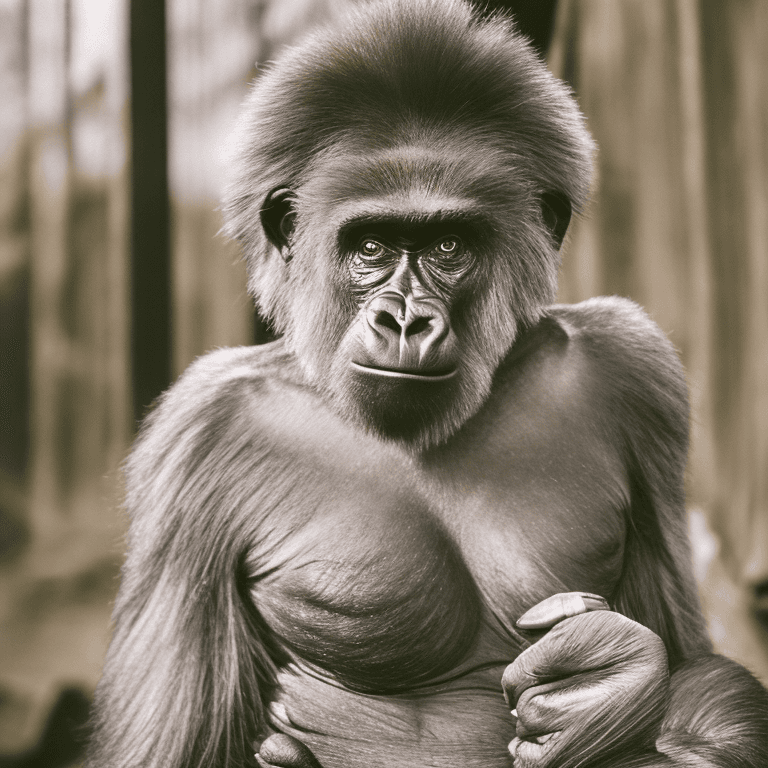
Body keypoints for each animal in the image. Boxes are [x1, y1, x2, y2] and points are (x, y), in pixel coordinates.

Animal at [85, 1, 768, 767]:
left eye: (448, 246)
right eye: (371, 245)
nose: (405, 319)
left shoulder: (632, 365)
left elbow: (687, 654)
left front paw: (610, 689)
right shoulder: (197, 437)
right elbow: (171, 747)